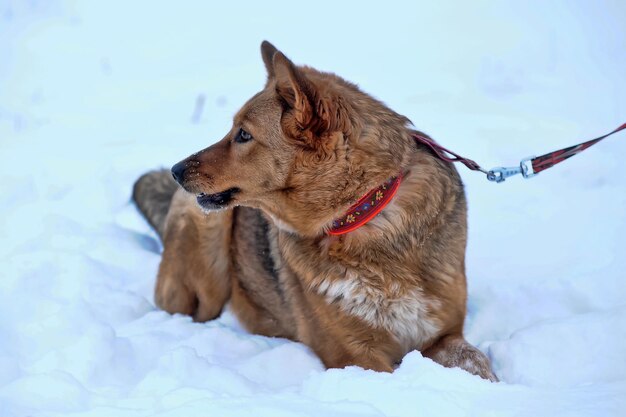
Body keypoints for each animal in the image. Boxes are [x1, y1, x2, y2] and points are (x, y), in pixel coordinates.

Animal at [133, 41, 498, 380]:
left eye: (244, 134)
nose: (176, 170)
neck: (364, 216)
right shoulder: (354, 355)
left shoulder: (443, 334)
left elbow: (478, 362)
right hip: (208, 242)